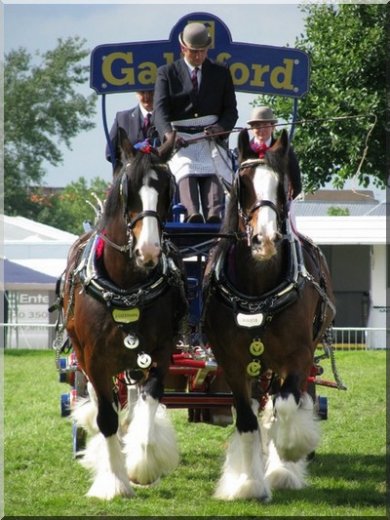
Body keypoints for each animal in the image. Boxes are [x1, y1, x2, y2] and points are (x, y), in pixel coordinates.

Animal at [62, 128, 187, 498]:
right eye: (126, 187)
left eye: (167, 188)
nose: (149, 251)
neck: (127, 285)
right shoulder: (94, 360)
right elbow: (106, 417)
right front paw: (114, 481)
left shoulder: (159, 353)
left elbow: (147, 405)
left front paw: (141, 466)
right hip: (84, 356)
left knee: (132, 402)